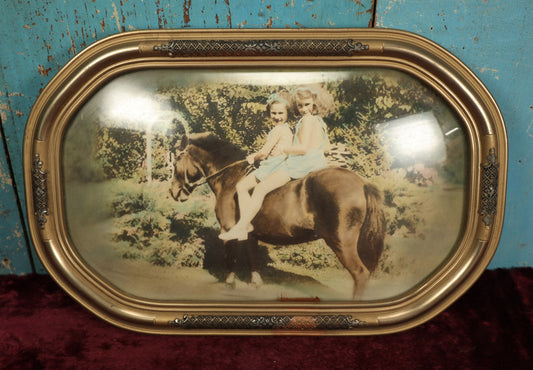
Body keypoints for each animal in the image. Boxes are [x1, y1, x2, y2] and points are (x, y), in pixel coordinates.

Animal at [168, 132, 384, 298]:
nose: (174, 192)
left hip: (342, 243)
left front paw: (229, 283)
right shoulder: (251, 235)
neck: (230, 178)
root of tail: (361, 183)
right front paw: (255, 283)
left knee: (360, 274)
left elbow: (231, 257)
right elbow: (252, 257)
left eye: (177, 160)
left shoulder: (228, 229)